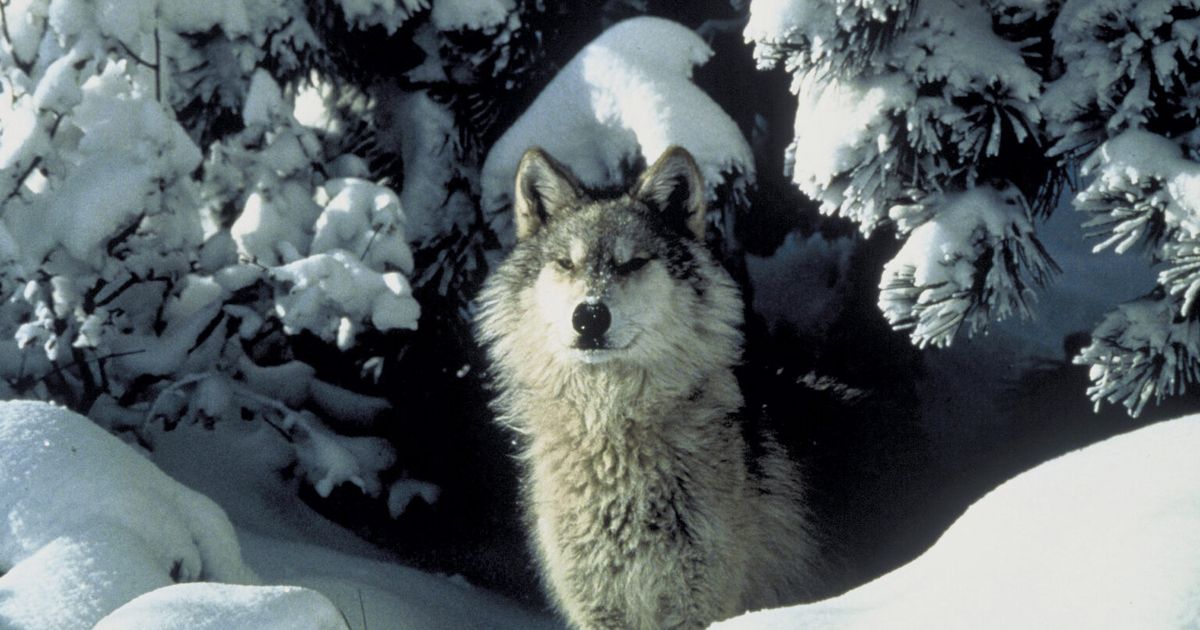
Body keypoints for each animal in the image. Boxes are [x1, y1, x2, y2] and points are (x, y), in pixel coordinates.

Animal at [475, 146, 820, 629]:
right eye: (566, 263)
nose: (590, 316)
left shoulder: (697, 607)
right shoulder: (599, 610)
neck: (610, 435)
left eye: (632, 263)